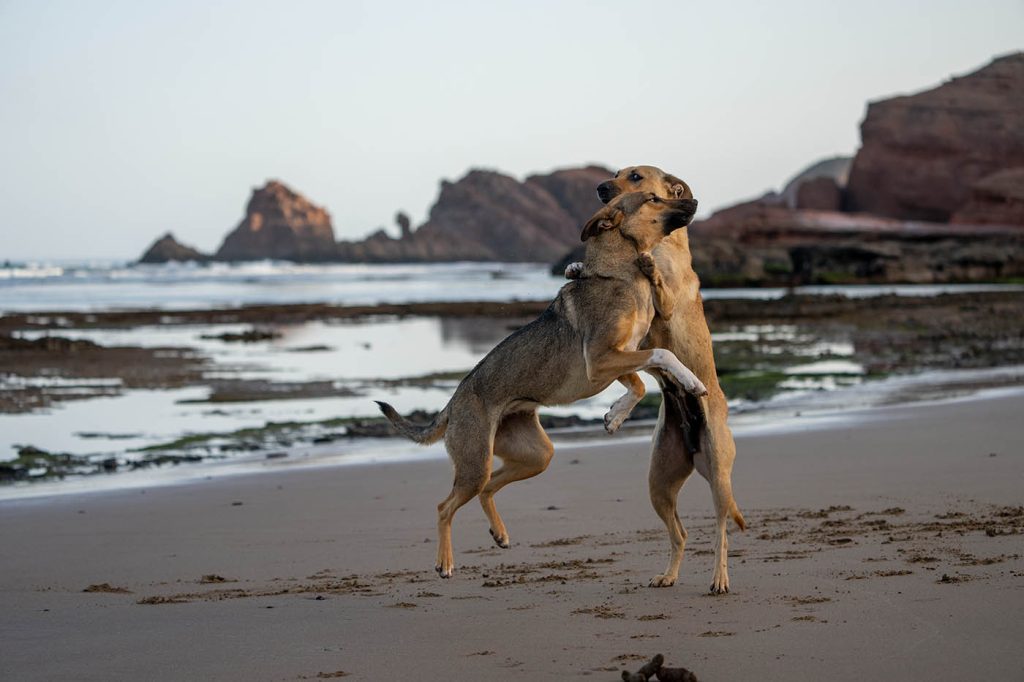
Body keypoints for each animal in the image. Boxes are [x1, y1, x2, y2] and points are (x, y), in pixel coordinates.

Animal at [380, 189, 708, 573]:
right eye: (654, 198)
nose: (695, 201)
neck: (618, 273)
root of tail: (452, 403)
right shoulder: (601, 358)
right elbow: (662, 354)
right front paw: (691, 381)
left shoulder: (617, 357)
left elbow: (639, 384)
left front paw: (615, 416)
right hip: (475, 463)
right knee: (445, 506)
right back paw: (445, 562)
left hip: (535, 456)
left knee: (488, 488)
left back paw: (499, 533)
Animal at [581, 163, 749, 589]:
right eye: (617, 172)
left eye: (637, 177)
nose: (600, 187)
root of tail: (692, 444)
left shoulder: (667, 306)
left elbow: (661, 291)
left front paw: (650, 267)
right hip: (659, 482)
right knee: (681, 532)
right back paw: (669, 575)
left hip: (719, 476)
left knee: (721, 529)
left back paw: (719, 578)